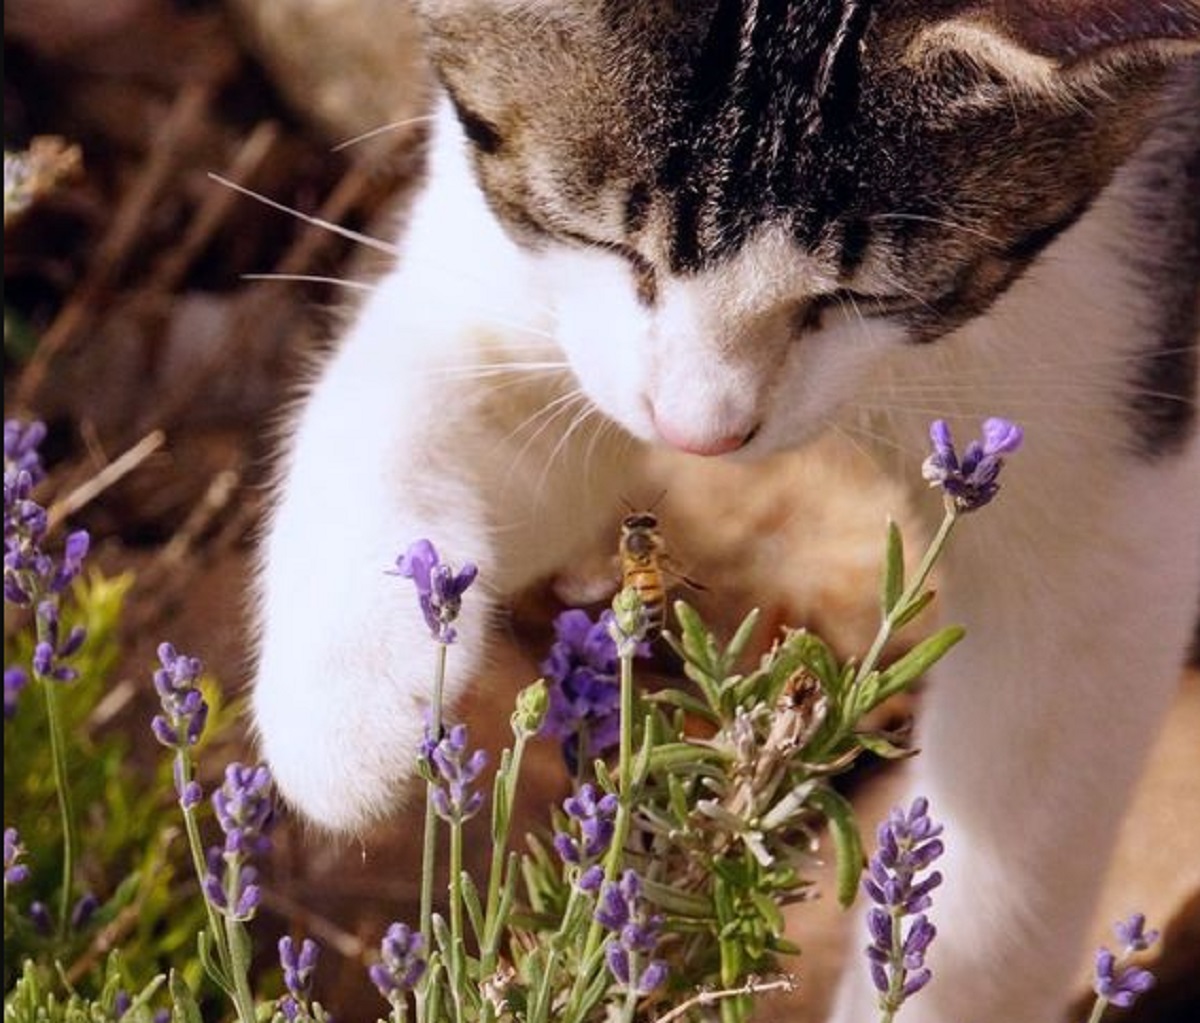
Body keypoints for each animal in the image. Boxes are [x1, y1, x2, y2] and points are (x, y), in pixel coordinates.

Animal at [248, 3, 1195, 1018]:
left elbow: (1015, 840)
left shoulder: (1110, 418)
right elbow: (415, 387)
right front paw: (347, 706)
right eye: (598, 237)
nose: (703, 433)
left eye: (861, 295)